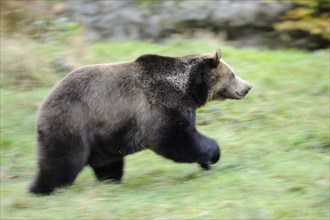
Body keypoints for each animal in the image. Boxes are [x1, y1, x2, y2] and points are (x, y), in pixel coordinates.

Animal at [29, 48, 251, 194]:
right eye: (232, 75)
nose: (248, 86)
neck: (189, 89)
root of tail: (44, 105)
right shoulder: (162, 104)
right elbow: (175, 138)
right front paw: (213, 153)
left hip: (104, 138)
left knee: (107, 163)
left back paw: (111, 182)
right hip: (73, 123)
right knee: (62, 162)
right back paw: (41, 189)